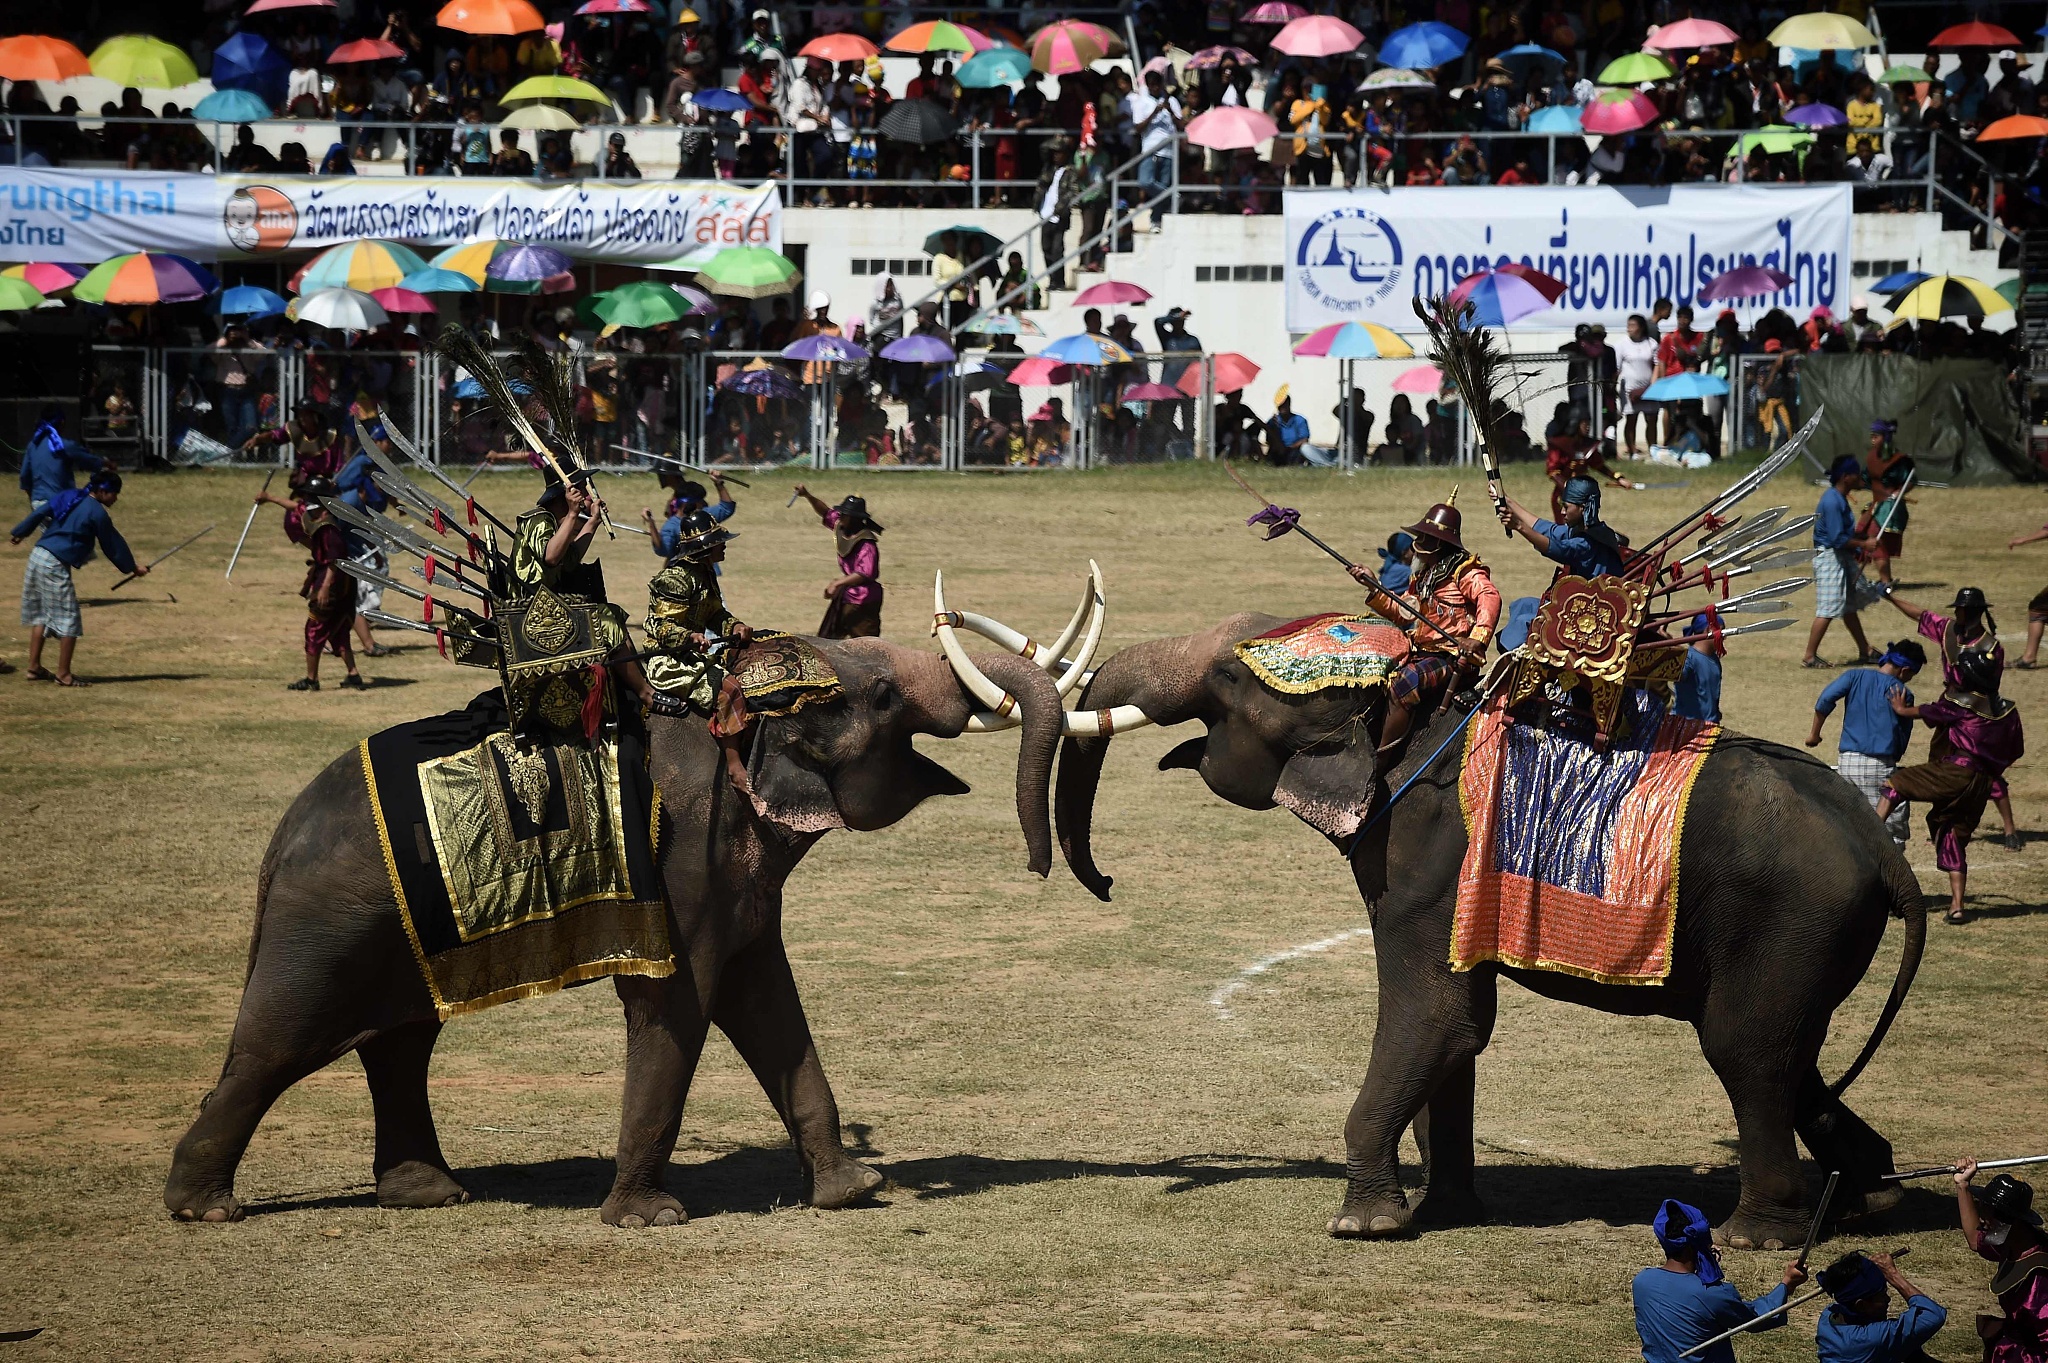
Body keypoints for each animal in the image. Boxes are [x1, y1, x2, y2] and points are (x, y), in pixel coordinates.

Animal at [163, 568, 1122, 1227]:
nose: (1052, 870)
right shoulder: (686, 859)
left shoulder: (739, 883)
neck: (736, 715)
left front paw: (854, 1190)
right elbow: (679, 1006)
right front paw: (649, 1218)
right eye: (883, 693)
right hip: (328, 918)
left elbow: (768, 1002)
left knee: (399, 1039)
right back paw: (205, 1205)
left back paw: (429, 1193)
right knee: (284, 1043)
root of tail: (280, 837)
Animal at [1048, 609, 1925, 1244]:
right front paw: (1446, 1211)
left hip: (1789, 919)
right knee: (1790, 1058)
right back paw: (1865, 1204)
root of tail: (1887, 850)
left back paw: (1756, 1235)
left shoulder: (1425, 859)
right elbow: (1459, 1028)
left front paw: (1363, 1223)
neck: (1411, 708)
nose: (1103, 881)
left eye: (1229, 675)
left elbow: (1435, 1014)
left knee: (1747, 1052)